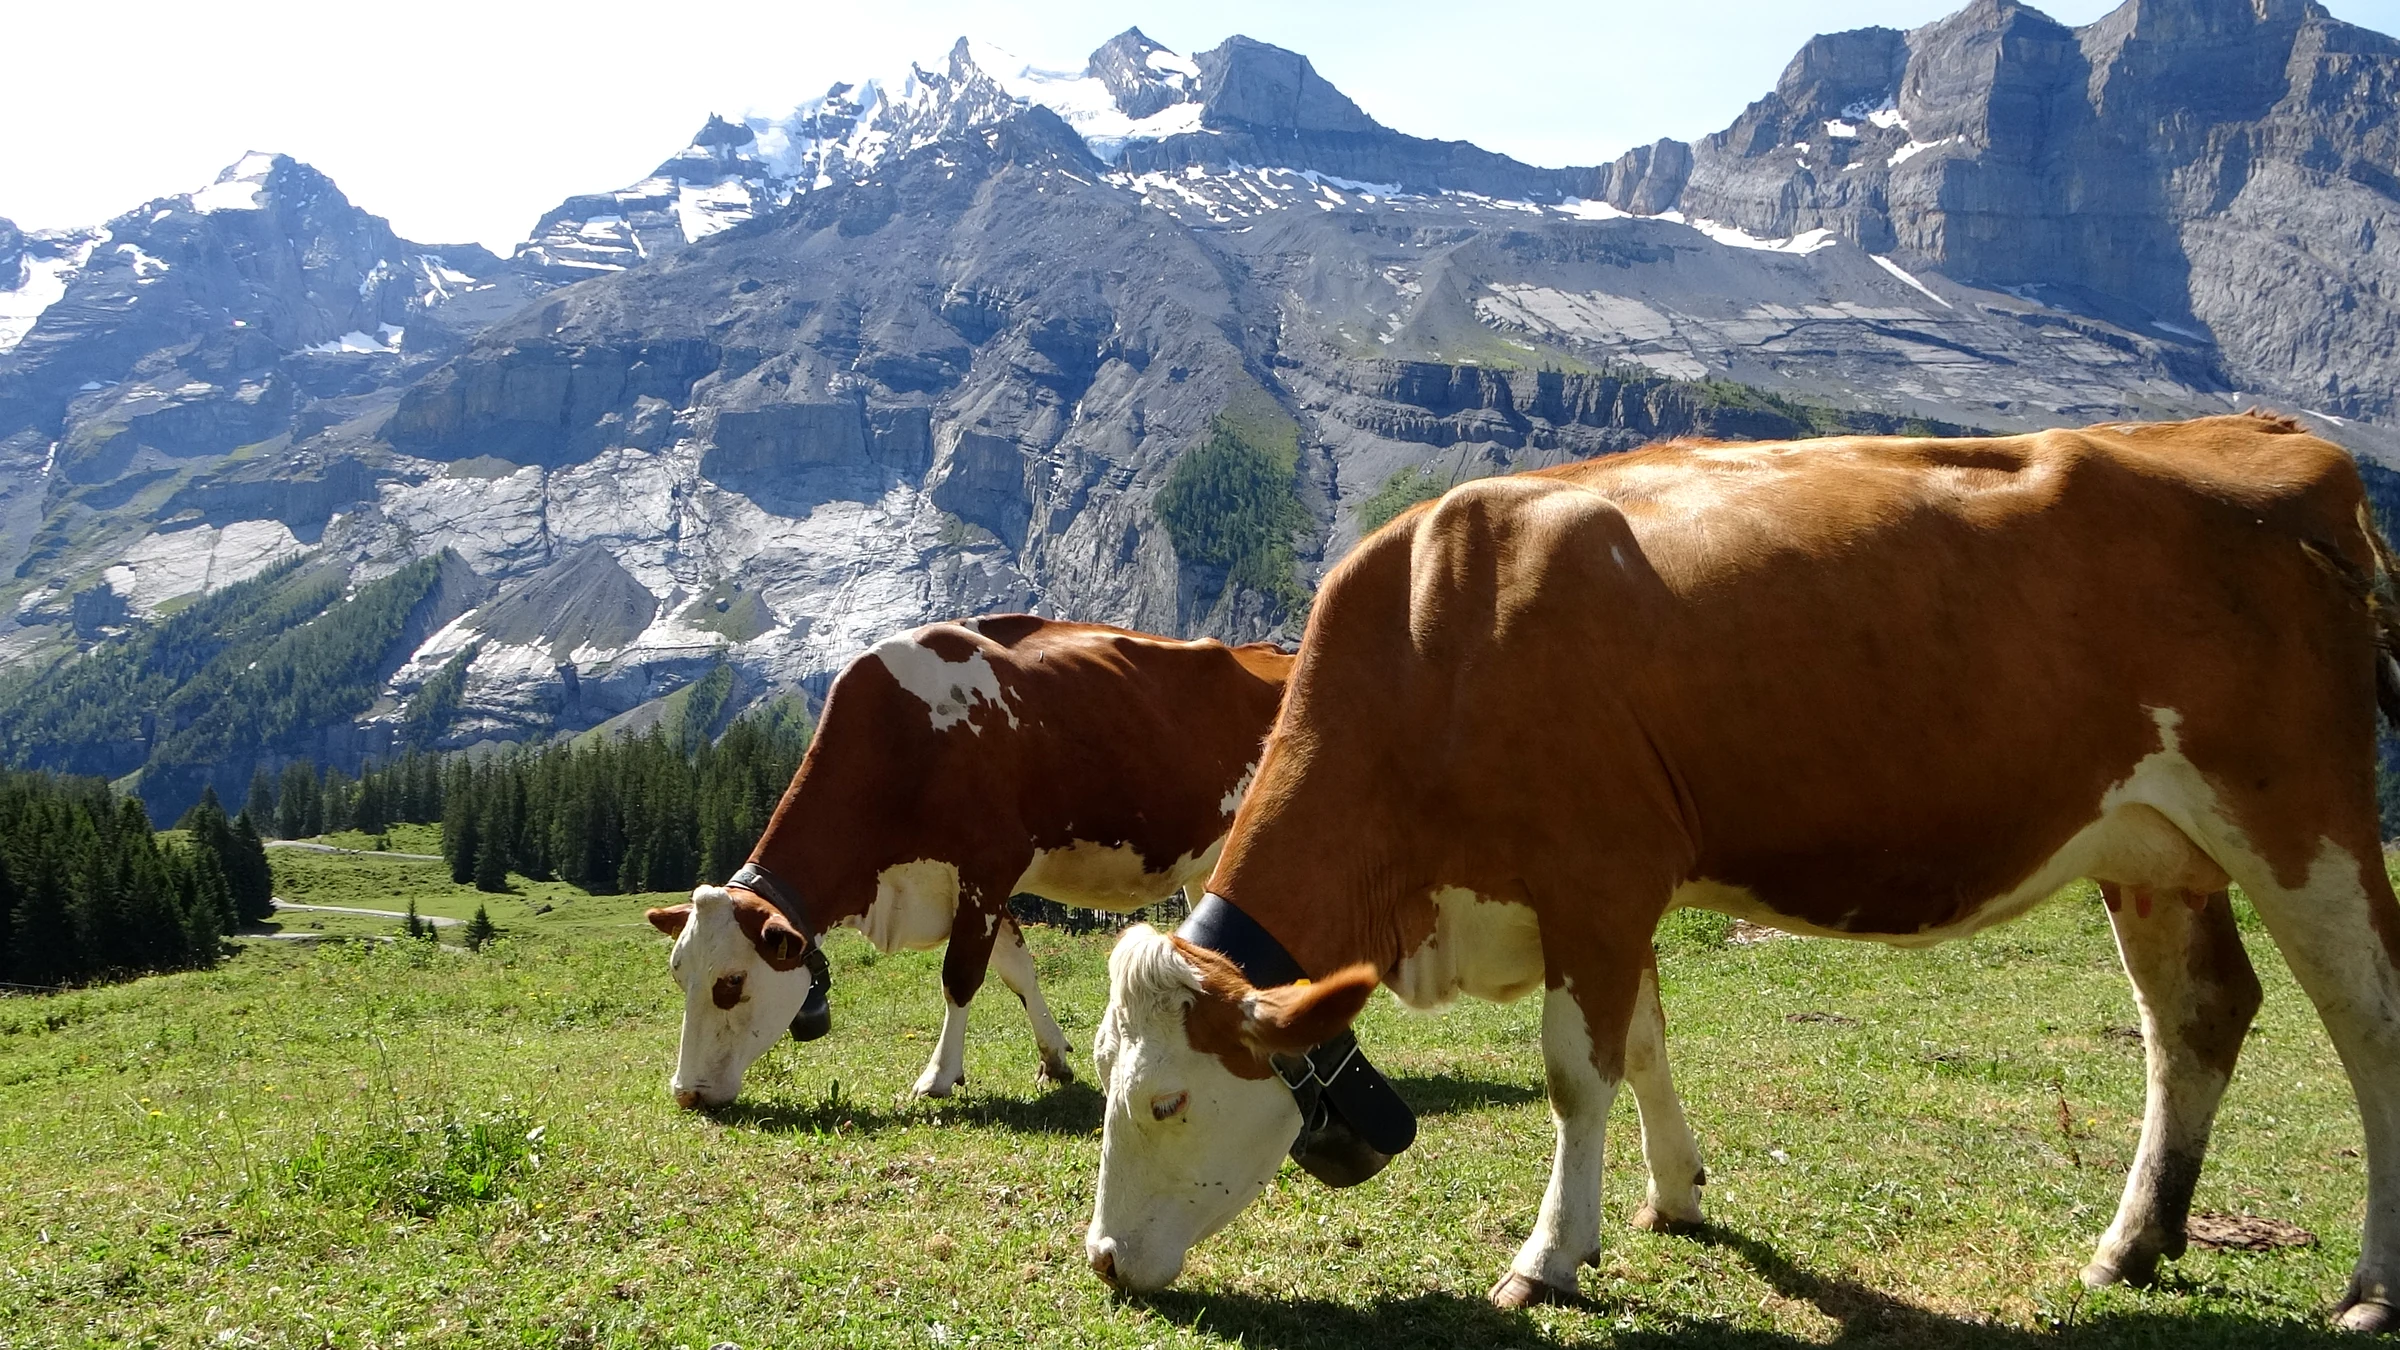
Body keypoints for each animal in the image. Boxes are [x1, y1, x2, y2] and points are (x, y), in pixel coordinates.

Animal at [645, 615, 1292, 1109]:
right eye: (678, 974)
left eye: (731, 983)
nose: (686, 1092)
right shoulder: (978, 884)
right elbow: (1017, 968)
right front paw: (1054, 1058)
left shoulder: (988, 865)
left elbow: (960, 975)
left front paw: (937, 1076)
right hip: (1208, 867)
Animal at [1082, 413, 2400, 1333]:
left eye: (1166, 1102)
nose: (1103, 1263)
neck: (1432, 645)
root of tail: (2275, 437)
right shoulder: (1612, 895)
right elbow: (1645, 1045)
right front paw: (1674, 1200)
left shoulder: (1596, 877)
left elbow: (1576, 1074)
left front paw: (1549, 1259)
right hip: (2152, 845)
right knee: (2197, 1020)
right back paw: (2131, 1245)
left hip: (2305, 820)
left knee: (2369, 1024)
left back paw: (2371, 1286)